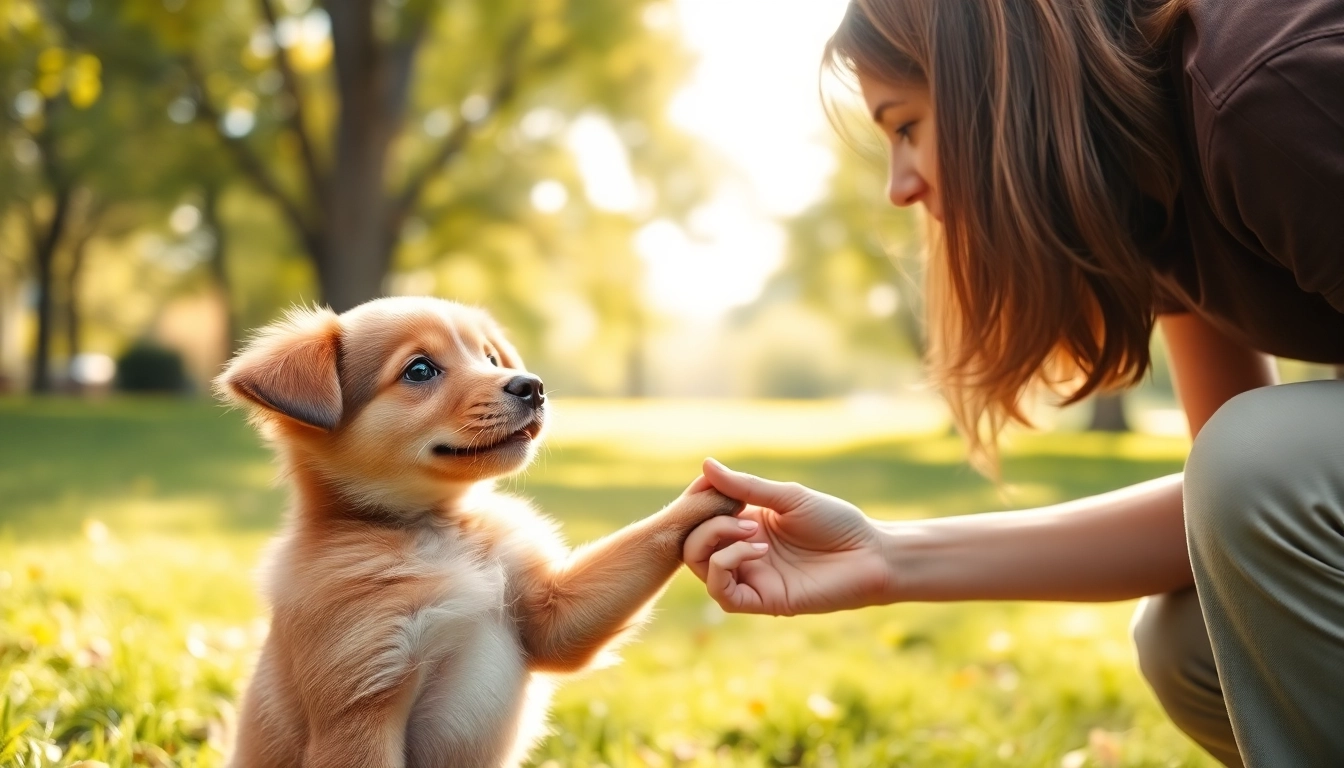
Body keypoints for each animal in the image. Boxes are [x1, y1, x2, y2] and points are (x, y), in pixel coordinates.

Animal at [215, 298, 741, 768]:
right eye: (419, 370)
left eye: (488, 358)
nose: (533, 386)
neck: (437, 532)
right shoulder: (361, 702)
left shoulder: (548, 617)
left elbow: (643, 542)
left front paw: (719, 492)